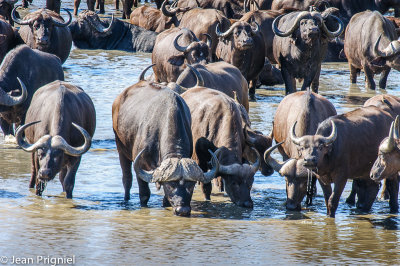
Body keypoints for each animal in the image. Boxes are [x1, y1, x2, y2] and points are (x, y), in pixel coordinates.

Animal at [111, 65, 219, 217]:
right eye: (171, 184)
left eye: (191, 185)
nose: (182, 210)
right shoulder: (141, 166)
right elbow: (144, 194)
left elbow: (166, 200)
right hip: (120, 148)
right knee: (127, 179)